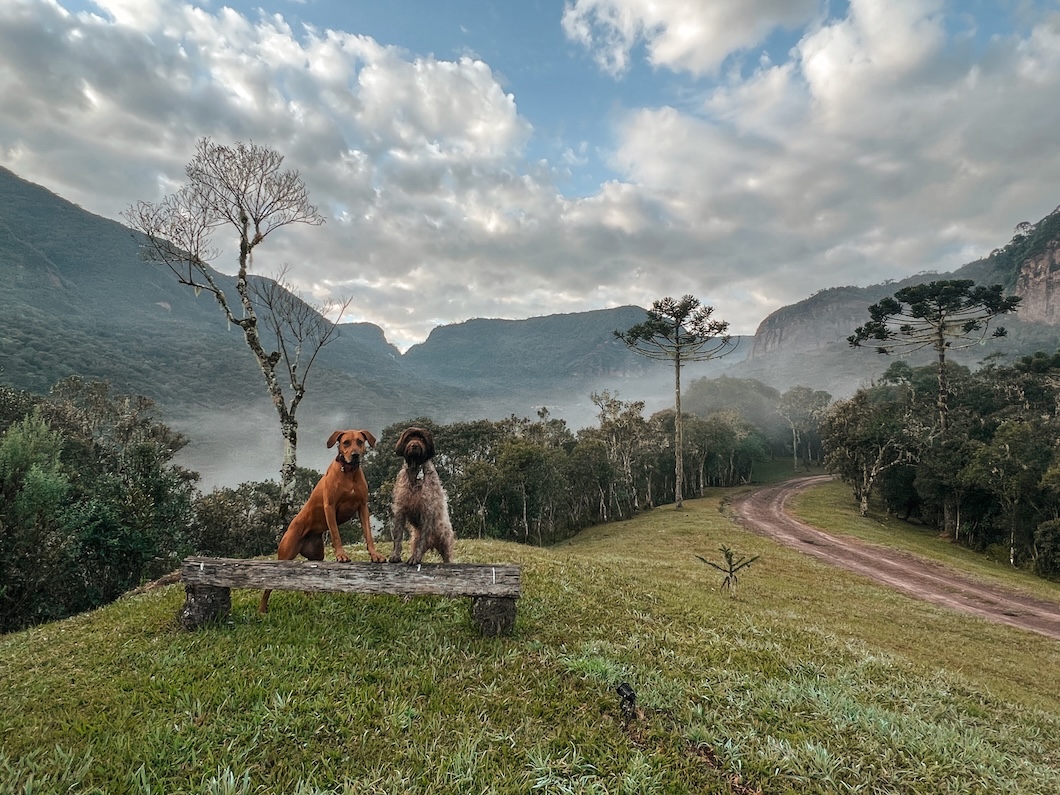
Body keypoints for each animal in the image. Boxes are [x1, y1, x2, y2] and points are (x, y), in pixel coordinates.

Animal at [259, 432, 383, 614]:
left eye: (360, 442)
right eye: (346, 442)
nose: (355, 455)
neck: (349, 473)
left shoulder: (363, 507)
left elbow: (368, 534)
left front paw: (375, 555)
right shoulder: (330, 506)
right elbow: (336, 534)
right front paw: (341, 555)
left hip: (316, 555)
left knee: (308, 580)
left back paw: (311, 600)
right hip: (286, 553)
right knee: (268, 586)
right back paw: (262, 610)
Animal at [390, 430, 455, 568]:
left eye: (422, 438)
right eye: (409, 437)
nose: (414, 445)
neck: (415, 472)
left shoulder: (427, 510)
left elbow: (422, 540)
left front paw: (415, 557)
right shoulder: (400, 509)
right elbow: (398, 536)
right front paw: (395, 555)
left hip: (444, 538)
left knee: (447, 556)